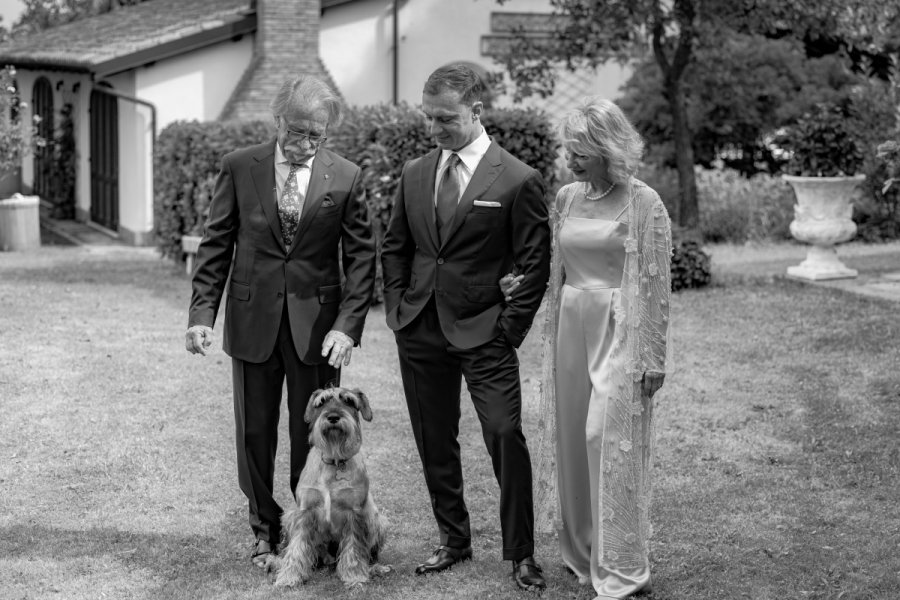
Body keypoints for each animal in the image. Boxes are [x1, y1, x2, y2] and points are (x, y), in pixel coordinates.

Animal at [272, 386, 388, 588]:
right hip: (288, 517)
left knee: (370, 553)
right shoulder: (304, 511)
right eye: (322, 402)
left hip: (377, 520)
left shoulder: (355, 513)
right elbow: (296, 547)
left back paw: (376, 568)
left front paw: (354, 576)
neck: (334, 460)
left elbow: (354, 548)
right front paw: (289, 576)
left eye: (349, 401)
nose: (333, 417)